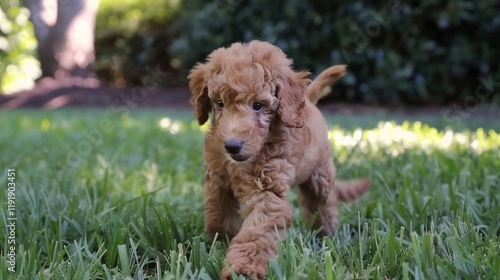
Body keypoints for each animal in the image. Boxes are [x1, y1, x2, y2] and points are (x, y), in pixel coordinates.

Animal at [189, 40, 370, 278]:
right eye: (219, 103)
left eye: (258, 105)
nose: (231, 146)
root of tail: (309, 102)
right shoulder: (217, 180)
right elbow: (218, 212)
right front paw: (220, 241)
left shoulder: (268, 191)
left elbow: (258, 230)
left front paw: (242, 268)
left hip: (320, 173)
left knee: (324, 203)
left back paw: (325, 234)